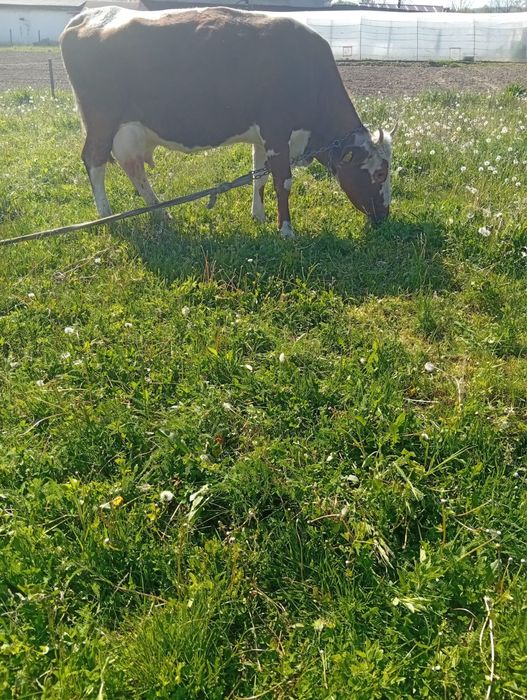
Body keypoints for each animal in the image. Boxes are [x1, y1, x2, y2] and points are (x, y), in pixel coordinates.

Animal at [60, 6, 393, 238]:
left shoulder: (263, 137)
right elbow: (282, 181)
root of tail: (91, 15)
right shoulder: (276, 130)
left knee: (133, 169)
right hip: (101, 119)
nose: (385, 215)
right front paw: (286, 229)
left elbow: (260, 177)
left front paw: (259, 216)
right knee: (94, 160)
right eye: (379, 174)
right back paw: (106, 215)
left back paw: (161, 214)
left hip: (127, 129)